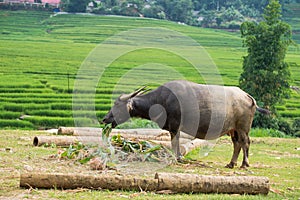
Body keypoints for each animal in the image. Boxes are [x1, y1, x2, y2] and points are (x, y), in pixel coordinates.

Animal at [102, 80, 270, 168]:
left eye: (117, 105)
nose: (105, 119)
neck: (160, 101)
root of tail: (248, 96)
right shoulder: (173, 128)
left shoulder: (174, 127)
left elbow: (175, 143)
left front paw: (177, 158)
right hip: (233, 129)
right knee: (237, 144)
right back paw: (231, 163)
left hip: (243, 128)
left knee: (245, 142)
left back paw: (244, 164)